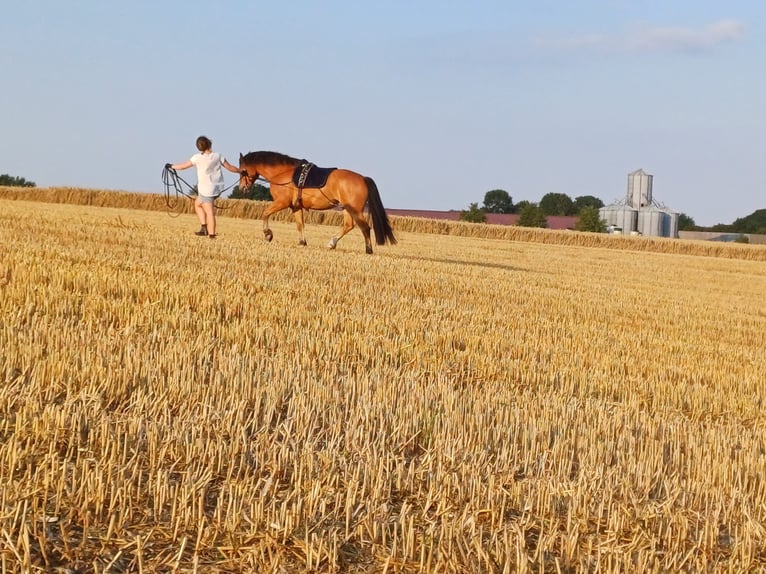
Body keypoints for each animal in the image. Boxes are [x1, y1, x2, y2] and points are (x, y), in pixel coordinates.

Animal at [238, 151, 396, 254]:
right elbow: (300, 225)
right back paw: (332, 243)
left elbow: (265, 213)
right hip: (347, 209)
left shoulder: (282, 202)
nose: (242, 188)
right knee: (349, 226)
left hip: (355, 210)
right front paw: (302, 242)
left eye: (242, 171)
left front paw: (268, 234)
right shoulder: (296, 207)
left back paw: (368, 250)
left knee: (365, 227)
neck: (284, 173)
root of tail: (363, 178)